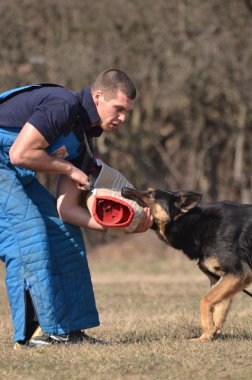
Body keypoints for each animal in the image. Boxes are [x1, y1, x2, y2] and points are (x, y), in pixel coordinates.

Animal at [120, 189, 252, 342]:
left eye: (151, 195)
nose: (123, 189)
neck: (197, 224)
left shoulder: (238, 274)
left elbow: (206, 300)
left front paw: (208, 331)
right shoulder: (221, 278)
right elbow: (219, 307)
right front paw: (208, 336)